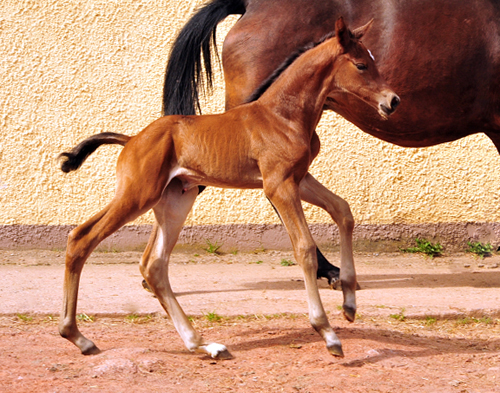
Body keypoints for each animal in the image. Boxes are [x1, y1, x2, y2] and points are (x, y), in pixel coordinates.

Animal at [58, 19, 398, 360]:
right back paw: (77, 336)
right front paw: (327, 332)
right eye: (361, 64)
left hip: (172, 200)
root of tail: (131, 140)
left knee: (149, 264)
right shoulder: (278, 185)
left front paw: (349, 304)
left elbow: (343, 210)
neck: (283, 115)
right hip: (138, 195)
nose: (393, 100)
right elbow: (305, 248)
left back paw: (203, 345)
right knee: (83, 240)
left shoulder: (299, 179)